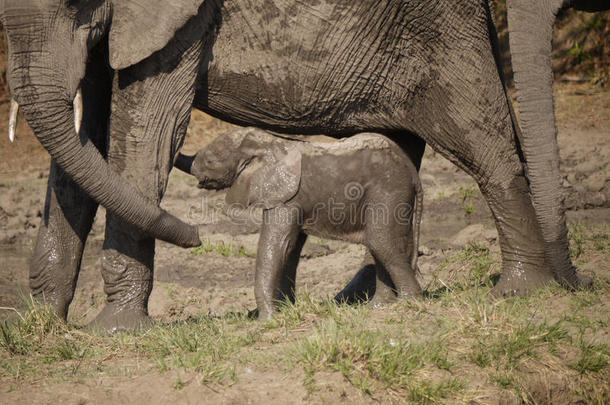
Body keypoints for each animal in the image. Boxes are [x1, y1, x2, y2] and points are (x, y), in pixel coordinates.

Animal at [176, 129, 422, 318]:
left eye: (210, 161)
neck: (264, 142)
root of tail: (412, 171)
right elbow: (290, 249)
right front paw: (285, 310)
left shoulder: (285, 196)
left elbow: (276, 246)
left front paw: (268, 319)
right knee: (378, 244)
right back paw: (378, 307)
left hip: (389, 190)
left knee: (381, 241)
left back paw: (410, 302)